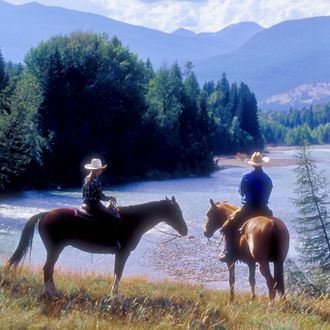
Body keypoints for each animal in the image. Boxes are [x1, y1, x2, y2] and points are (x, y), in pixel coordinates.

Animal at [5, 196, 187, 296]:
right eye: (177, 212)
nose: (185, 230)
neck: (132, 221)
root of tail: (45, 214)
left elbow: (117, 273)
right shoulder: (123, 253)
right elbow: (118, 273)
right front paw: (114, 295)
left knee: (49, 269)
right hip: (55, 249)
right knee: (47, 269)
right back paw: (50, 293)